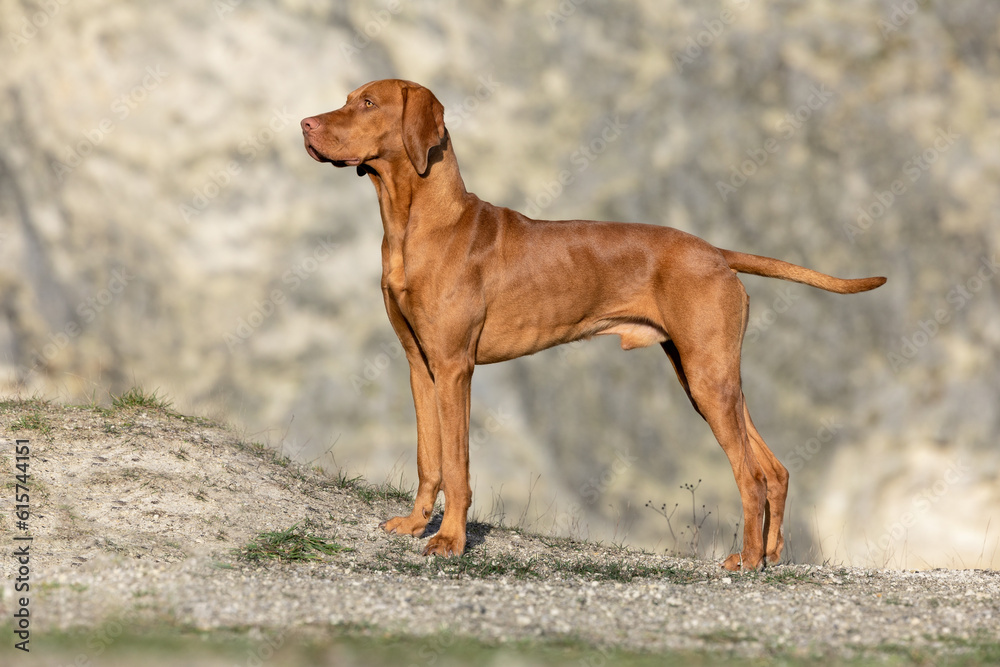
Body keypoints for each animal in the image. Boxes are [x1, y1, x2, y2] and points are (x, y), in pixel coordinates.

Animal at [300, 77, 888, 568]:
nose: (305, 124)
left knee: (750, 474)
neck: (416, 224)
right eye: (348, 98)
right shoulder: (420, 366)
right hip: (706, 378)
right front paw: (416, 524)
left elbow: (458, 466)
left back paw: (744, 560)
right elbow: (430, 458)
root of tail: (715, 252)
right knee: (773, 469)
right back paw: (769, 556)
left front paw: (449, 541)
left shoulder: (454, 368)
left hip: (708, 376)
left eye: (367, 103)